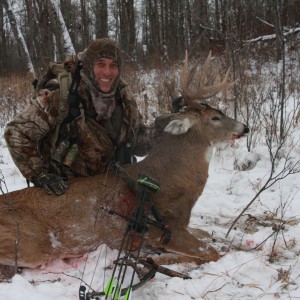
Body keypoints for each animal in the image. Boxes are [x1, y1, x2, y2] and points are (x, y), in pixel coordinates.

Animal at [0, 51, 248, 268]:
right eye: (215, 118)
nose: (245, 127)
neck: (171, 180)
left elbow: (208, 234)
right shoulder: (165, 230)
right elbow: (211, 252)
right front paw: (155, 259)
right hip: (29, 245)